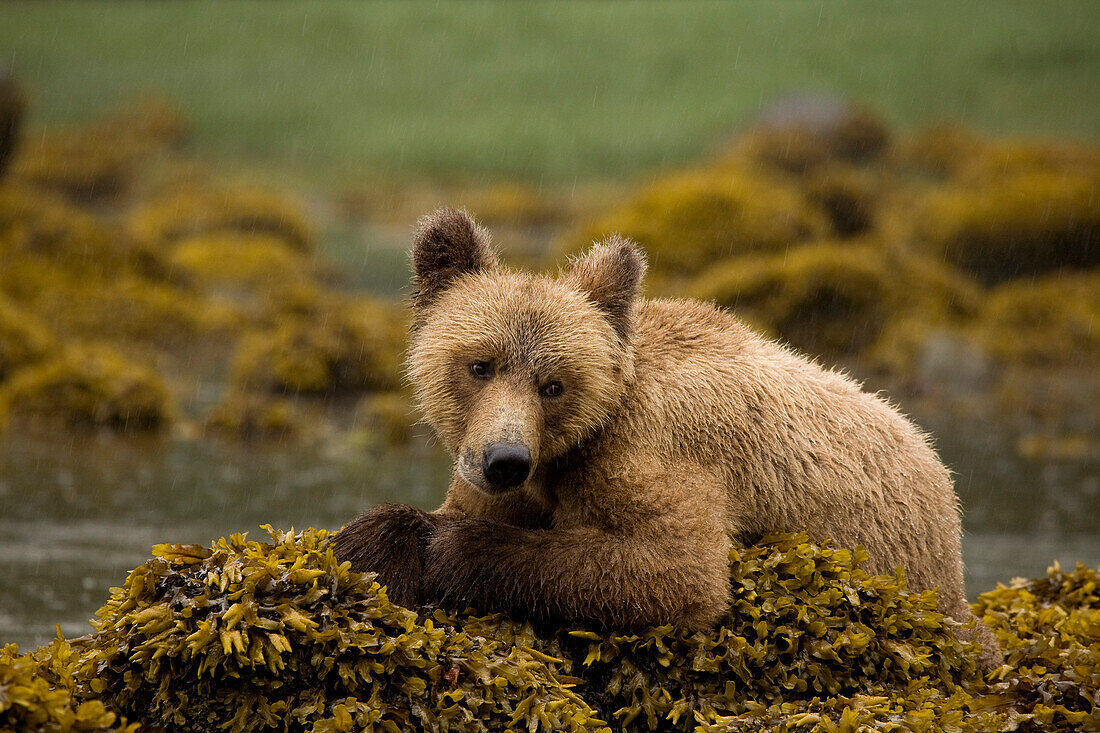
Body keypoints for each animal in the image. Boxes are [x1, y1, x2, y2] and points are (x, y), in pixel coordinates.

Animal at [330, 205, 1003, 669]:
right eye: (480, 365)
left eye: (553, 384)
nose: (505, 460)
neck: (569, 450)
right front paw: (375, 539)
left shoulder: (654, 450)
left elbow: (675, 570)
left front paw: (449, 548)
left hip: (917, 581)